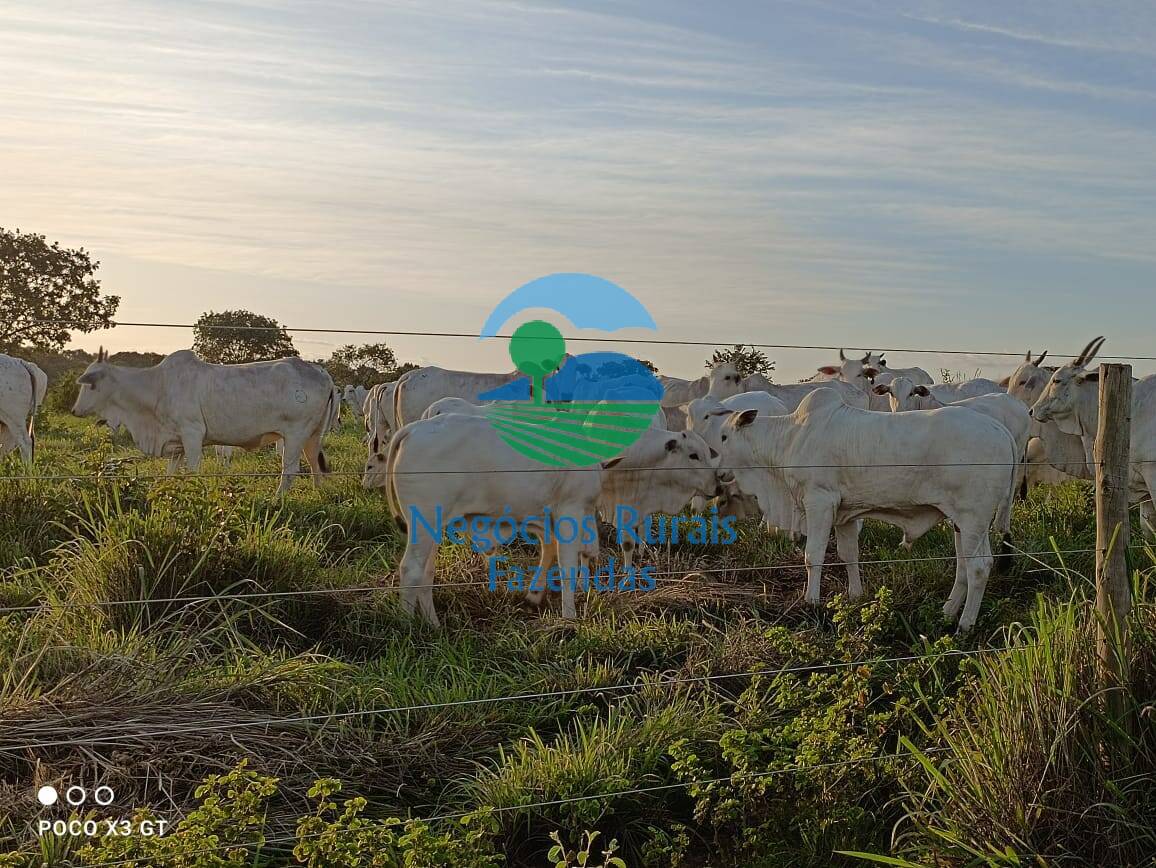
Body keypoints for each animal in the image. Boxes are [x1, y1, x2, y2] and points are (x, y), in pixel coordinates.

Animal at [72, 349, 337, 494]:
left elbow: (192, 471)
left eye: (89, 384)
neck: (157, 386)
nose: (75, 410)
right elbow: (171, 475)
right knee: (314, 465)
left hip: (294, 434)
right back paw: (319, 494)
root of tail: (320, 371)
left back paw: (276, 500)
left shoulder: (192, 434)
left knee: (290, 470)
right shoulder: (177, 442)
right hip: (313, 435)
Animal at [360, 413, 601, 624]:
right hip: (423, 521)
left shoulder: (544, 518)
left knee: (426, 573)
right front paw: (569, 618)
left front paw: (534, 596)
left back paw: (433, 625)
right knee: (411, 570)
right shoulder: (571, 508)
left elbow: (553, 551)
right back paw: (406, 625)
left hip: (434, 525)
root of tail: (414, 428)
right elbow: (568, 567)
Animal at [716, 388, 1017, 633]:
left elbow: (813, 555)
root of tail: (1001, 430)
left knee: (978, 567)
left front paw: (811, 602)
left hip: (973, 517)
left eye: (723, 437)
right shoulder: (844, 512)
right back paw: (947, 612)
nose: (718, 473)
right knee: (965, 565)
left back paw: (964, 625)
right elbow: (848, 554)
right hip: (963, 522)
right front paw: (855, 595)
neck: (791, 437)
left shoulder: (819, 501)